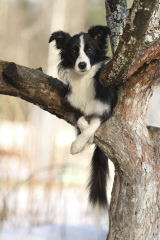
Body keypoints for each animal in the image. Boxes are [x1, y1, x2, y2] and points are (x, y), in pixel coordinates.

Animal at [48, 25, 117, 206]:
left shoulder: (105, 110)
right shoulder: (72, 105)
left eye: (90, 50)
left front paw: (79, 144)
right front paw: (81, 143)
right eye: (73, 51)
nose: (82, 64)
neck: (84, 79)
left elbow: (91, 126)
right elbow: (81, 122)